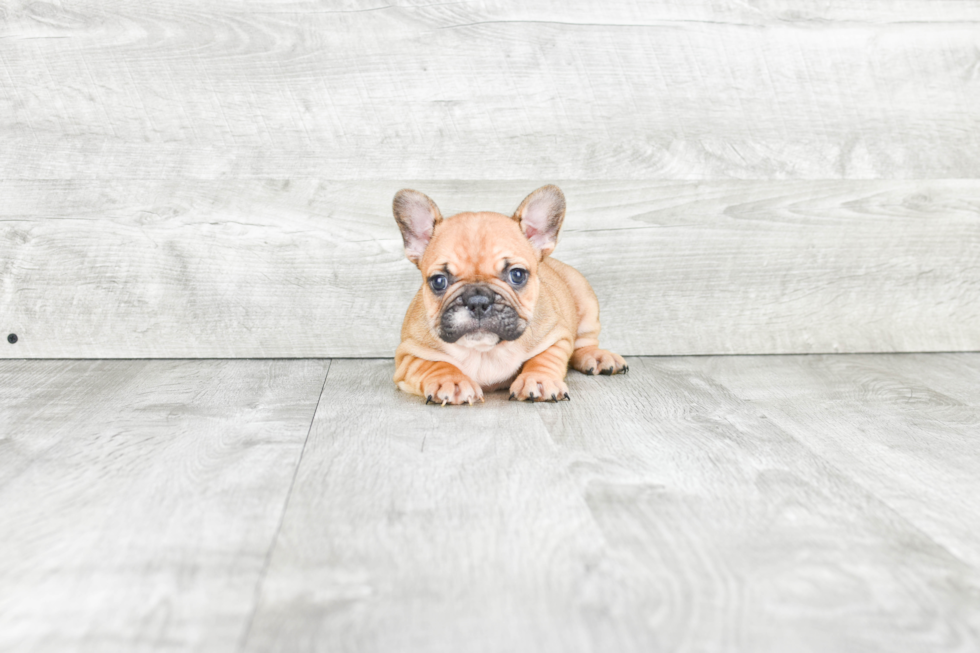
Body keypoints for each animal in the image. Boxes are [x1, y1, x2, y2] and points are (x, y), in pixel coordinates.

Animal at [392, 183, 628, 402]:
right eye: (439, 281)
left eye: (517, 275)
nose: (478, 301)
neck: (485, 351)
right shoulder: (408, 354)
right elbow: (434, 363)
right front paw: (452, 381)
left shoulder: (556, 337)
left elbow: (545, 357)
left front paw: (539, 380)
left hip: (584, 298)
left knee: (584, 343)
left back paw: (597, 357)